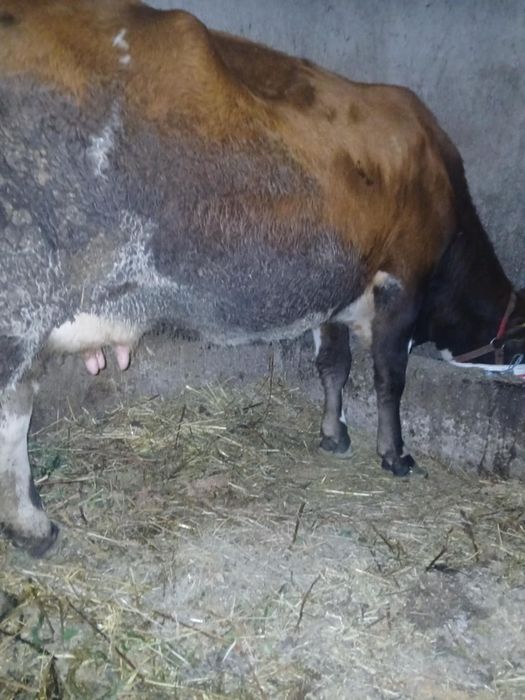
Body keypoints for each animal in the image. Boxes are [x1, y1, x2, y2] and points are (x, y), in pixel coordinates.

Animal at [0, 0, 524, 557]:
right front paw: (396, 455)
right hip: (22, 302)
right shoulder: (402, 280)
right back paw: (32, 525)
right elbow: (389, 378)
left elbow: (333, 366)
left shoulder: (335, 290)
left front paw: (334, 435)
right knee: (12, 410)